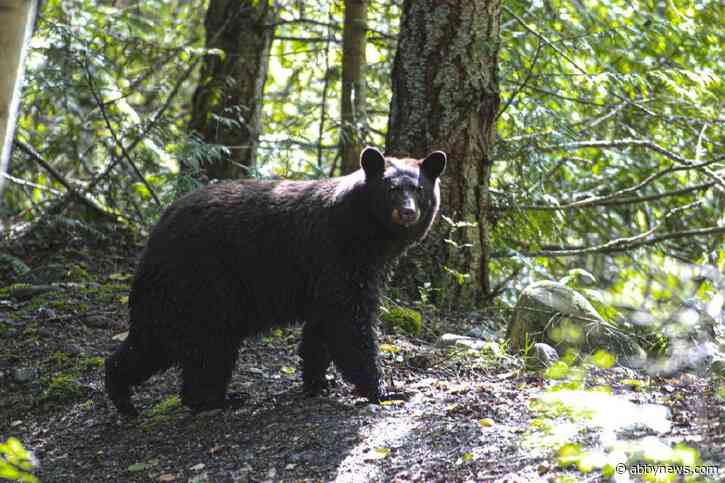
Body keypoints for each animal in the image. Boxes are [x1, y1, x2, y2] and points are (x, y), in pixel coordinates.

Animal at [105, 146, 446, 416]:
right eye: (391, 189)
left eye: (418, 189)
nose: (407, 212)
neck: (365, 233)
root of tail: (154, 238)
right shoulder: (336, 255)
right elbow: (348, 322)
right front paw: (384, 389)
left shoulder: (337, 272)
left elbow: (321, 327)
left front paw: (318, 382)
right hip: (205, 283)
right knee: (211, 346)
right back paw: (217, 399)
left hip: (170, 294)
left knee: (151, 343)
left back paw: (121, 393)